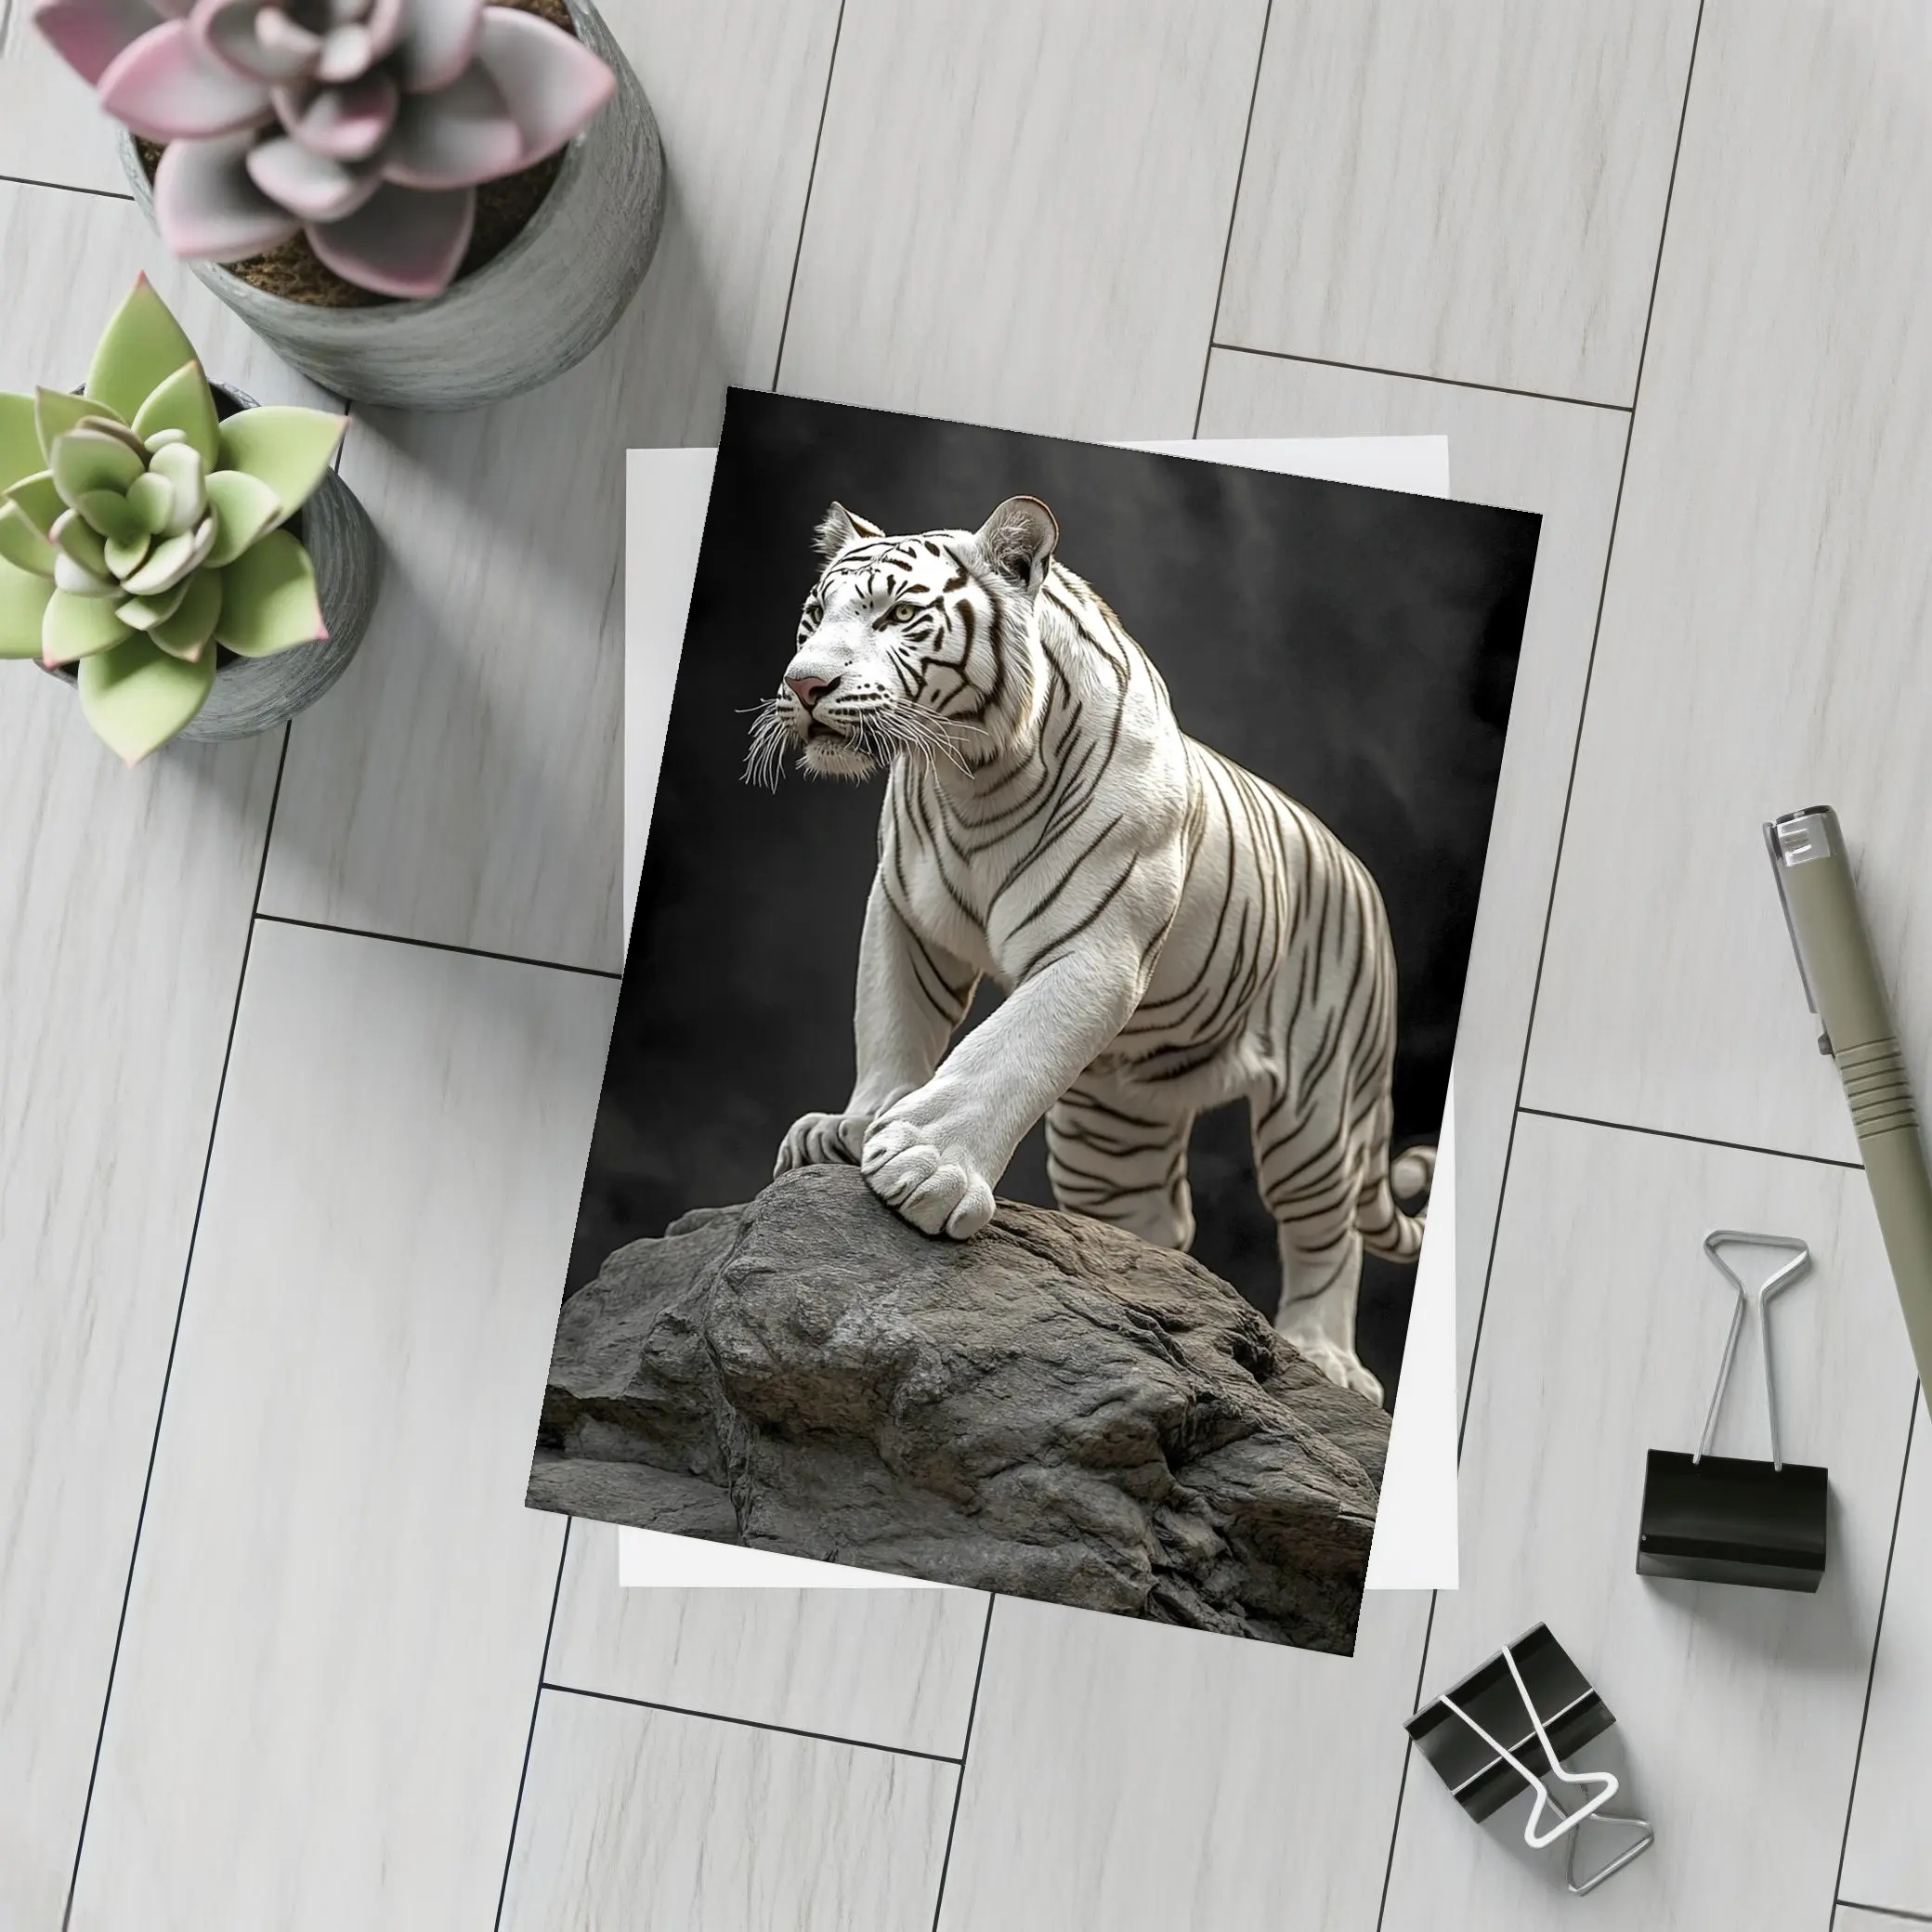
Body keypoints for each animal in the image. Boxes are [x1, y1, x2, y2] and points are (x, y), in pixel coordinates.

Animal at [745, 494, 1432, 1404]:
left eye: (896, 616)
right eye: (815, 617)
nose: (804, 685)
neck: (972, 776)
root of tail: (1356, 869)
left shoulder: (1096, 946)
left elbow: (1003, 1049)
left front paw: (925, 1166)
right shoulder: (905, 912)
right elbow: (894, 1026)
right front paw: (854, 1126)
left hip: (1318, 1102)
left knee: (1328, 1230)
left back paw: (1326, 1358)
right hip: (1112, 1130)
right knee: (1157, 1219)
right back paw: (1141, 1291)